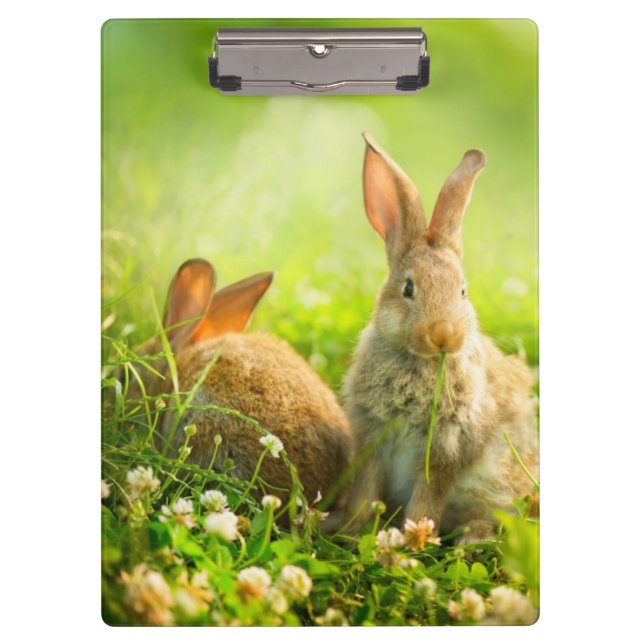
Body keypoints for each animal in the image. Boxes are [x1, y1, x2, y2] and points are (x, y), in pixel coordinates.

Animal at [341, 133, 539, 544]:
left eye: (463, 291)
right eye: (408, 288)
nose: (444, 334)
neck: (422, 362)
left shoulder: (445, 452)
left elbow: (426, 502)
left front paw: (411, 541)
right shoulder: (372, 441)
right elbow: (365, 493)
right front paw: (352, 531)